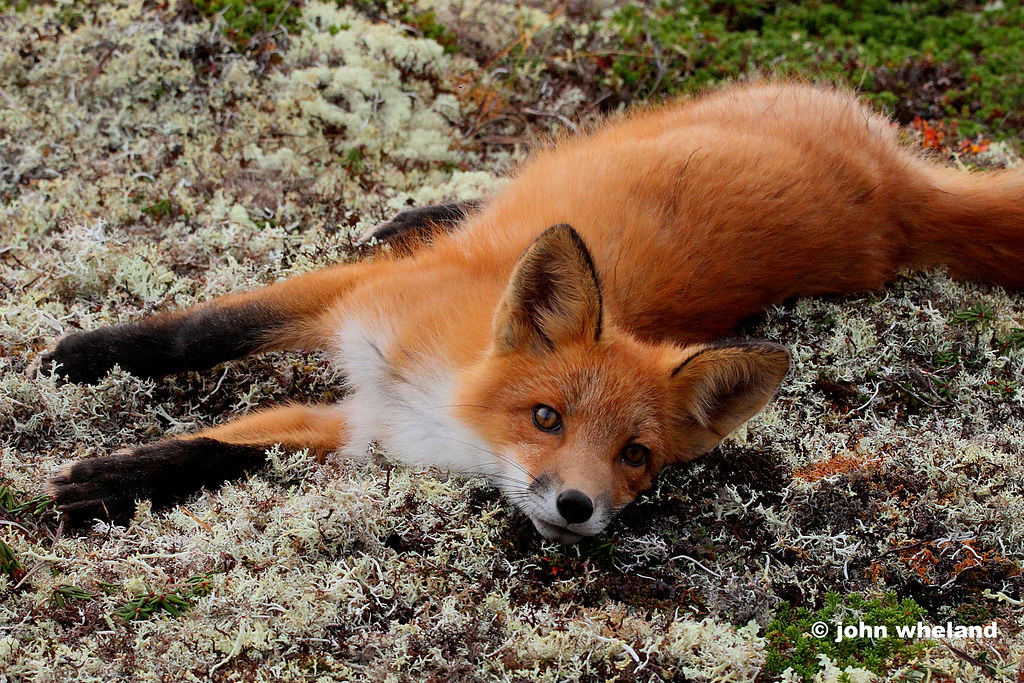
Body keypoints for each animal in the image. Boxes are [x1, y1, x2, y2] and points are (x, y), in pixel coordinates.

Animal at [39, 83, 1024, 544]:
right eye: (546, 417)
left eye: (637, 458)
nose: (580, 508)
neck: (441, 404)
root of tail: (897, 192)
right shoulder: (354, 303)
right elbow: (202, 329)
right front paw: (85, 358)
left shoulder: (361, 425)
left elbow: (222, 450)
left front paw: (113, 481)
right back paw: (429, 211)